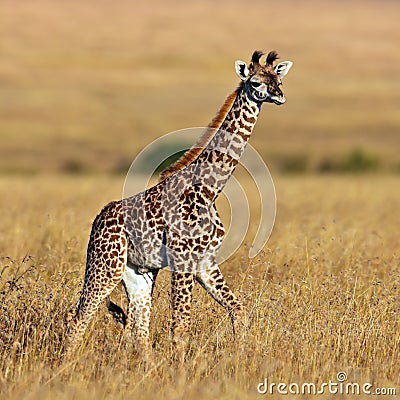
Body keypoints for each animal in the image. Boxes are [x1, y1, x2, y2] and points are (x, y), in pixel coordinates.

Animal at [65, 50, 290, 362]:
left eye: (278, 79)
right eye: (255, 82)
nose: (280, 95)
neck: (209, 190)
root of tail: (98, 220)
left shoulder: (205, 263)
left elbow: (238, 310)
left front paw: (241, 357)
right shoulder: (183, 260)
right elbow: (180, 328)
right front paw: (182, 369)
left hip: (137, 274)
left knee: (138, 330)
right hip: (105, 265)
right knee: (78, 318)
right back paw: (64, 366)